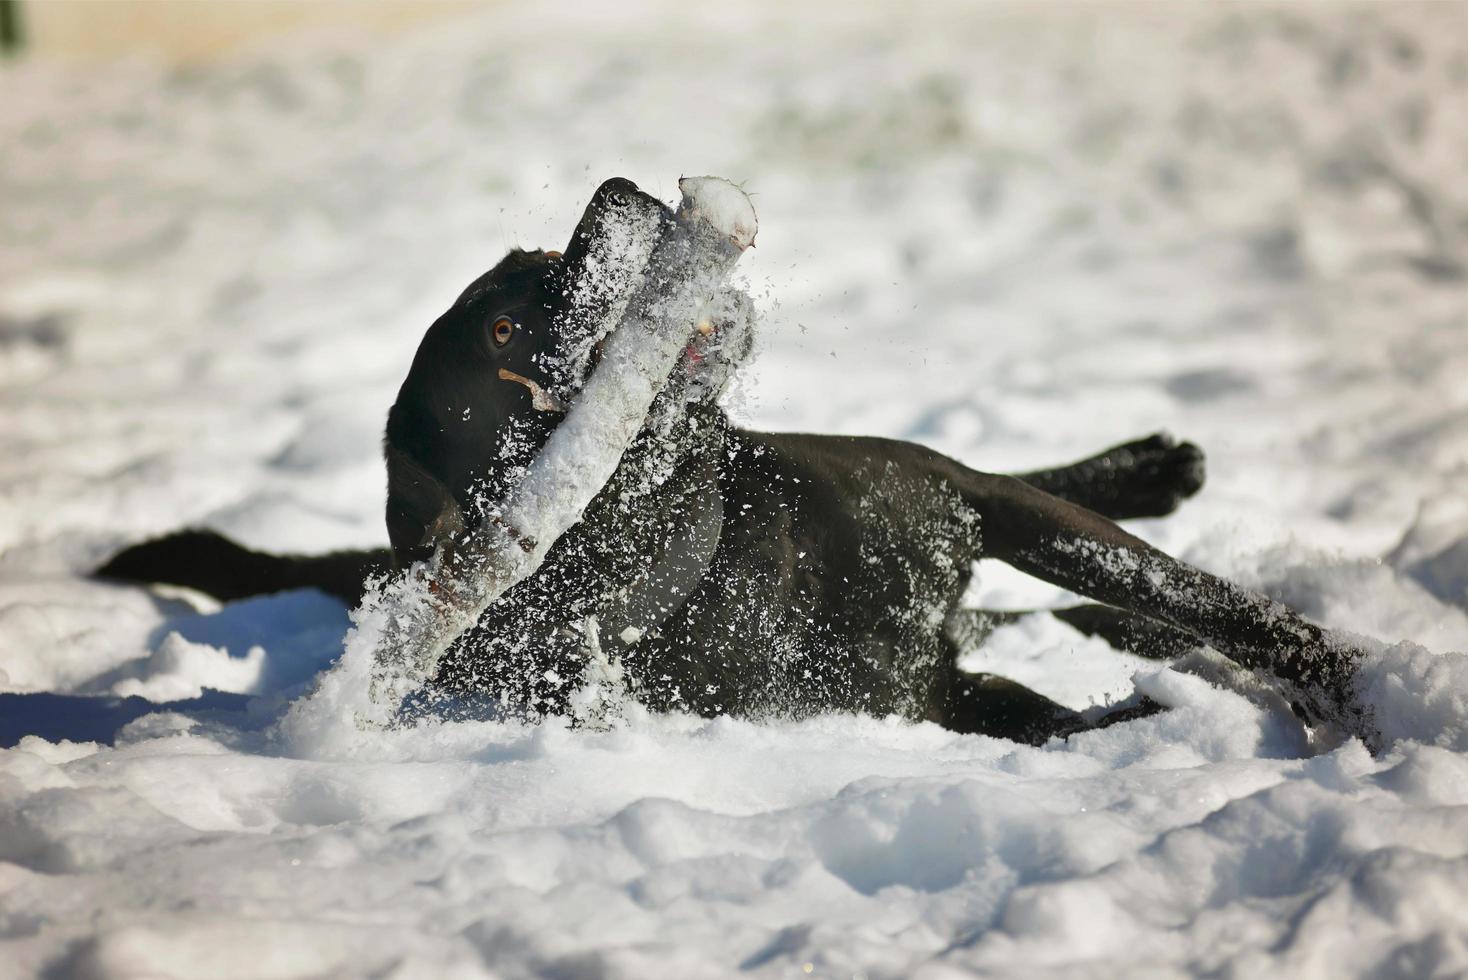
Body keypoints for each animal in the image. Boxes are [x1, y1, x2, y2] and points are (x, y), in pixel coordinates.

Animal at [103, 178, 1362, 742]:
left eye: (528, 257)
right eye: (501, 333)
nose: (617, 189)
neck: (713, 550)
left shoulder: (965, 501)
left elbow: (1191, 592)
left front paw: (1341, 676)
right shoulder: (940, 698)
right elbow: (1092, 715)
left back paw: (1155, 464)